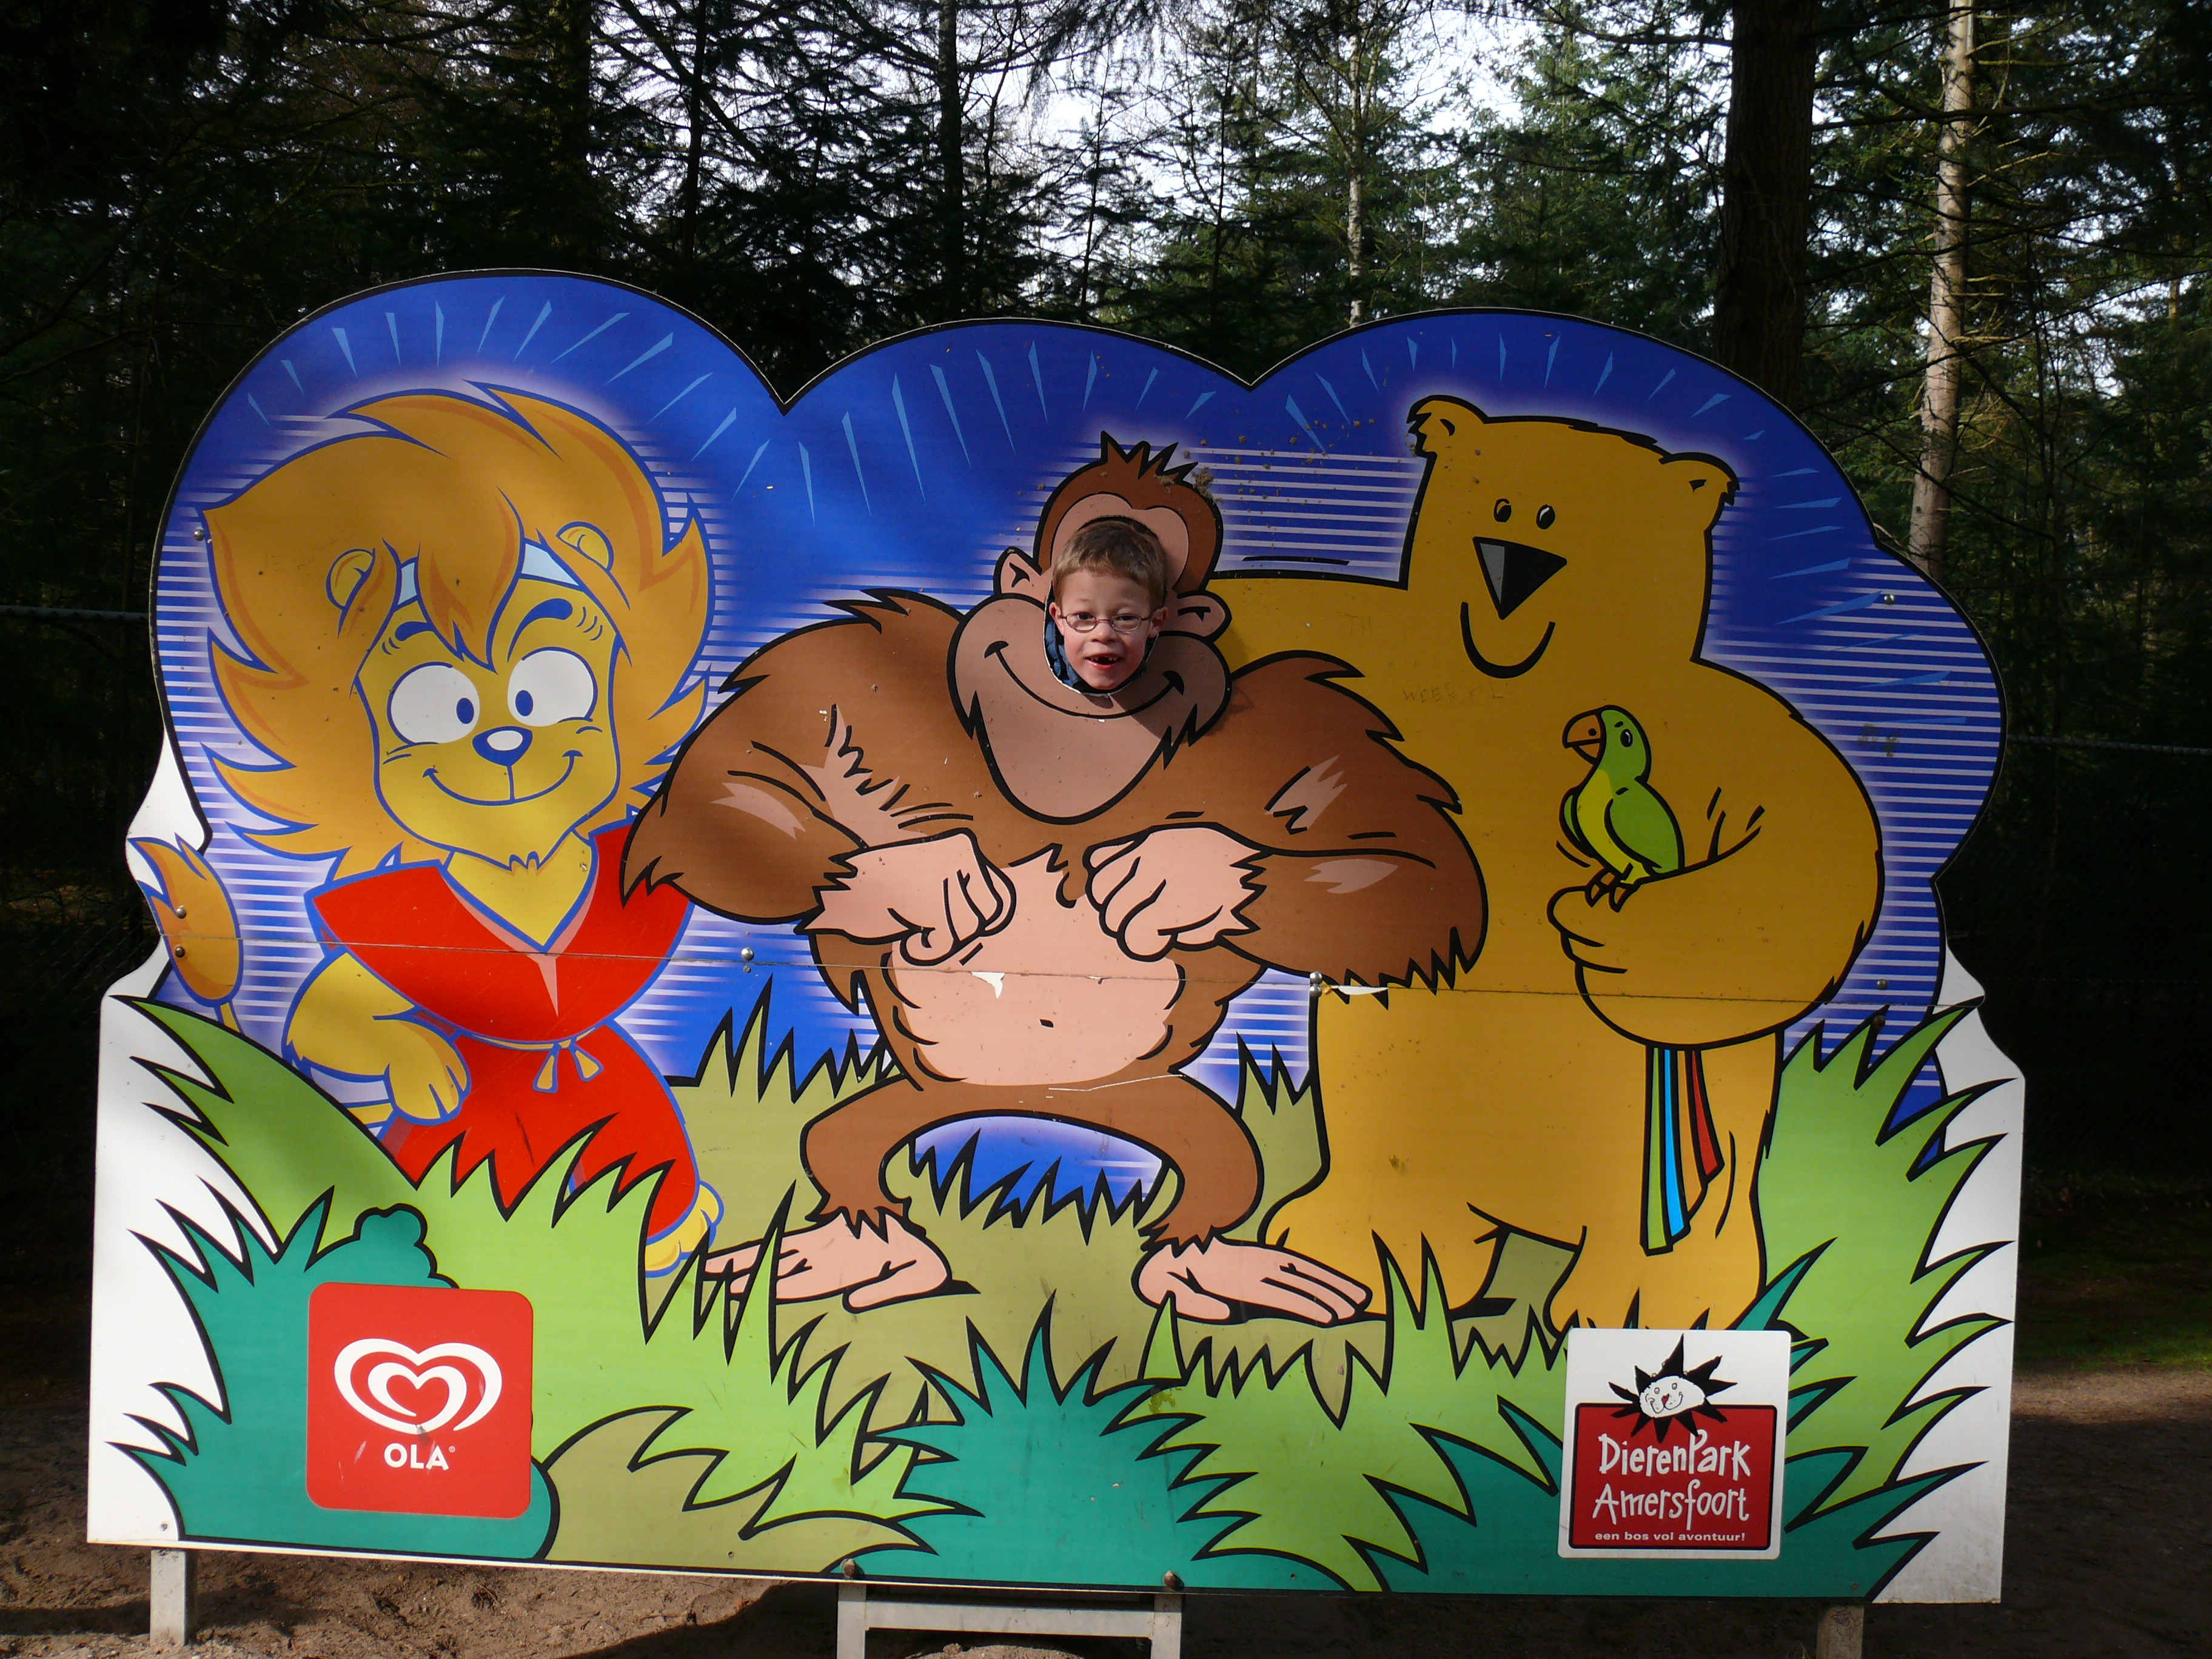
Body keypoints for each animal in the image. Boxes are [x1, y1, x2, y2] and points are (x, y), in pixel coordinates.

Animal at [624, 435, 1484, 1322]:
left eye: (1134, 612)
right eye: (1076, 609)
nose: (1100, 644)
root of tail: (1040, 1103)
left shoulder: (1311, 724)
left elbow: (1423, 875)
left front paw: (1181, 870)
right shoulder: (837, 666)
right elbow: (715, 789)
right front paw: (919, 874)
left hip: (1142, 1096)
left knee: (1222, 1164)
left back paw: (1204, 1266)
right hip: (940, 1092)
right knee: (841, 1142)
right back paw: (862, 1249)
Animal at [1218, 397, 1881, 1332]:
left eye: (1552, 515)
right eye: (1495, 500)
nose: (1515, 547)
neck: (1519, 688)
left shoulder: (1742, 732)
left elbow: (1808, 844)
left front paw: (1625, 942)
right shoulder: (1367, 647)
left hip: (1675, 1152)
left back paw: (1651, 1300)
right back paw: (1369, 1253)